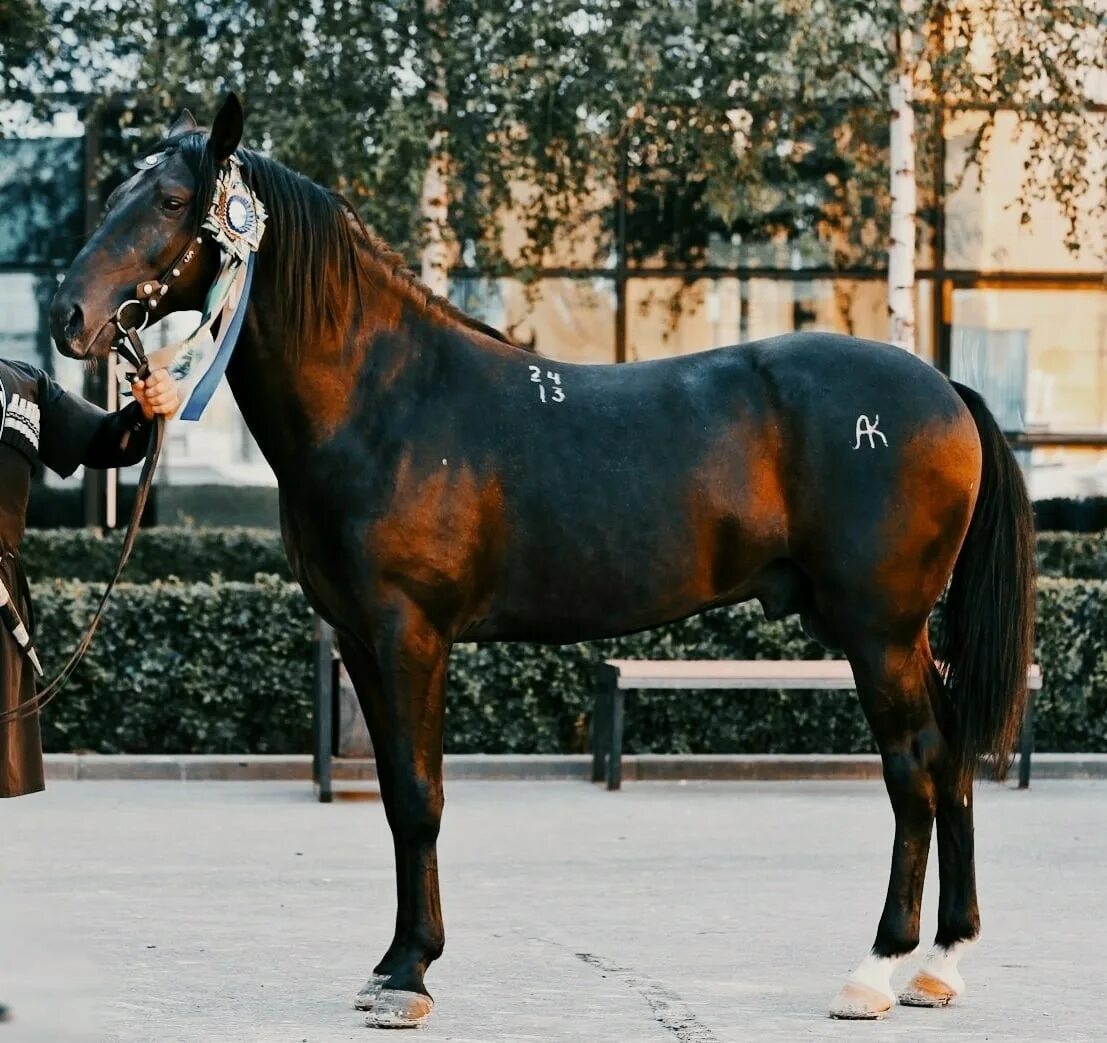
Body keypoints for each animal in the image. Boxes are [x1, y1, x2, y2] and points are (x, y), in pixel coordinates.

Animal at [49, 97, 1036, 1027]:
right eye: (117, 189)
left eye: (169, 200)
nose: (70, 316)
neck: (386, 399)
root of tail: (944, 388)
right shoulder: (361, 640)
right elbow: (396, 797)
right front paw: (390, 963)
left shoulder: (411, 634)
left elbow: (419, 796)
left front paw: (409, 976)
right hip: (903, 634)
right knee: (950, 756)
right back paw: (940, 963)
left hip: (878, 630)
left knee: (912, 767)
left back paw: (874, 969)